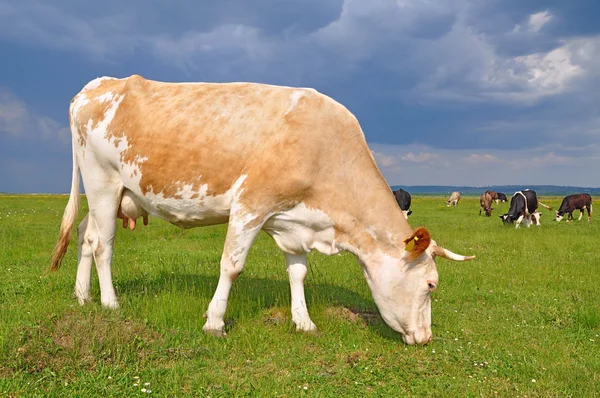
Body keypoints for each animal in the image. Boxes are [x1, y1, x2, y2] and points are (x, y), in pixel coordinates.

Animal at [49, 75, 476, 346]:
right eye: (431, 284)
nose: (426, 338)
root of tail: (97, 85)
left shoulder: (293, 220)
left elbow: (298, 273)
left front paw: (303, 321)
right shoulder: (251, 204)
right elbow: (231, 266)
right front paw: (215, 322)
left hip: (110, 194)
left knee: (86, 237)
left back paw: (82, 296)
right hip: (102, 181)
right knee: (103, 245)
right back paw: (110, 302)